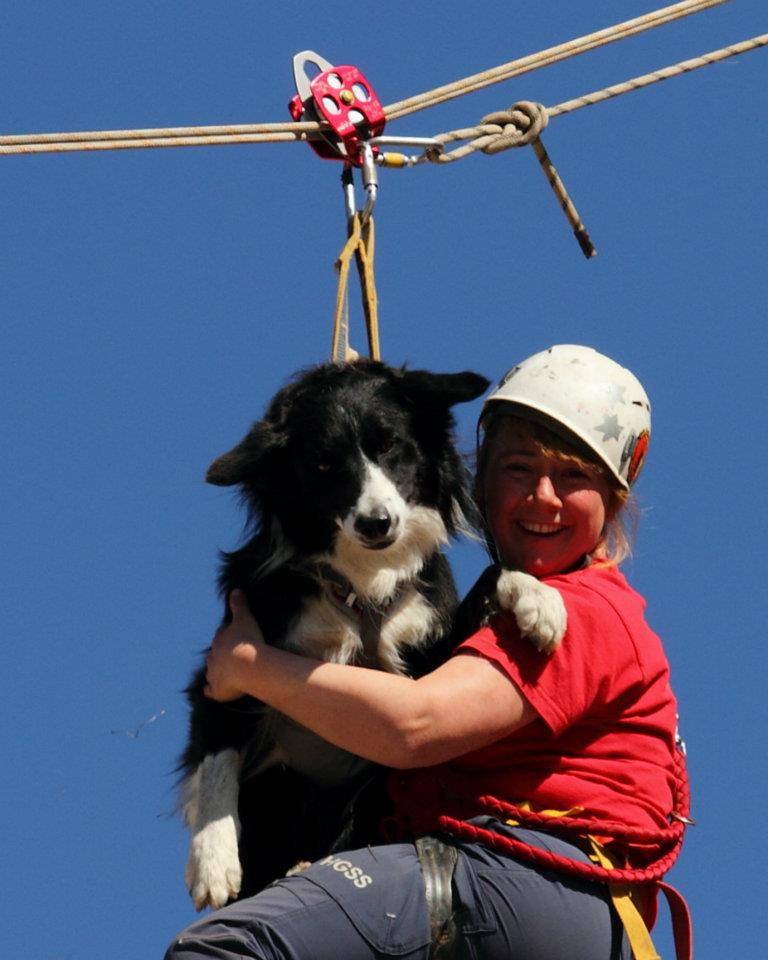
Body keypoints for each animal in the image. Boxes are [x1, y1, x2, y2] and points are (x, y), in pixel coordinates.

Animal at [178, 358, 564, 908]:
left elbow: (492, 578)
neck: (361, 583)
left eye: (389, 445)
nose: (376, 523)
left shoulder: (424, 658)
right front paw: (212, 864)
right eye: (321, 465)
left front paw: (539, 600)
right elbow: (216, 758)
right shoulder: (227, 660)